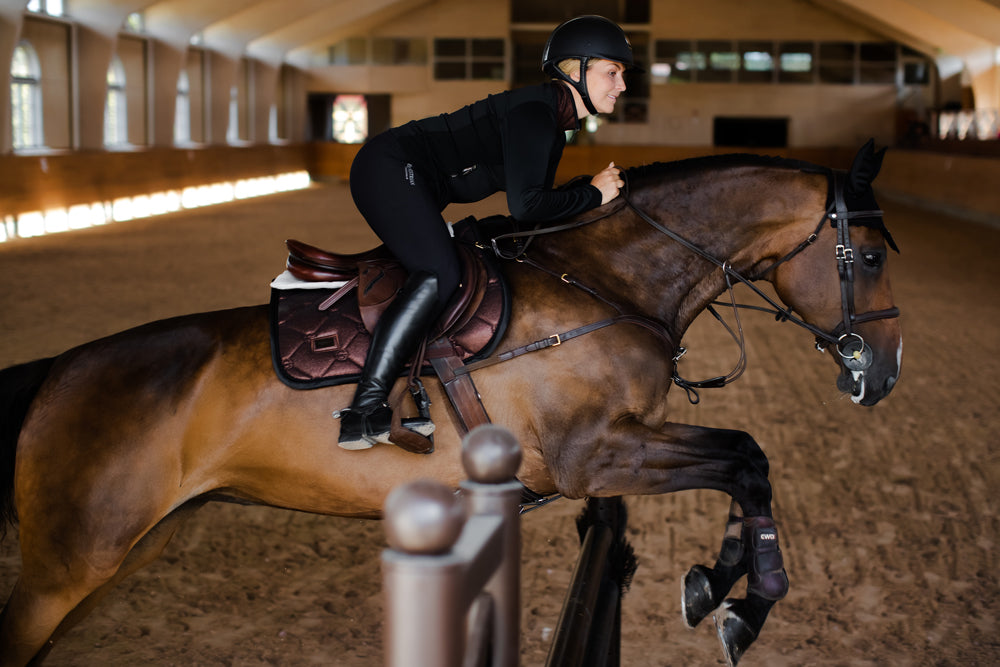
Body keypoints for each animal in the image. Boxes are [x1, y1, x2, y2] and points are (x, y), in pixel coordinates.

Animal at [0, 138, 904, 664]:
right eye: (866, 256)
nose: (883, 375)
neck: (608, 281)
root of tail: (59, 371)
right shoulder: (593, 456)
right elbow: (743, 461)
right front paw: (744, 603)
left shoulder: (624, 444)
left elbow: (746, 458)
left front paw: (716, 587)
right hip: (68, 567)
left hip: (128, 548)